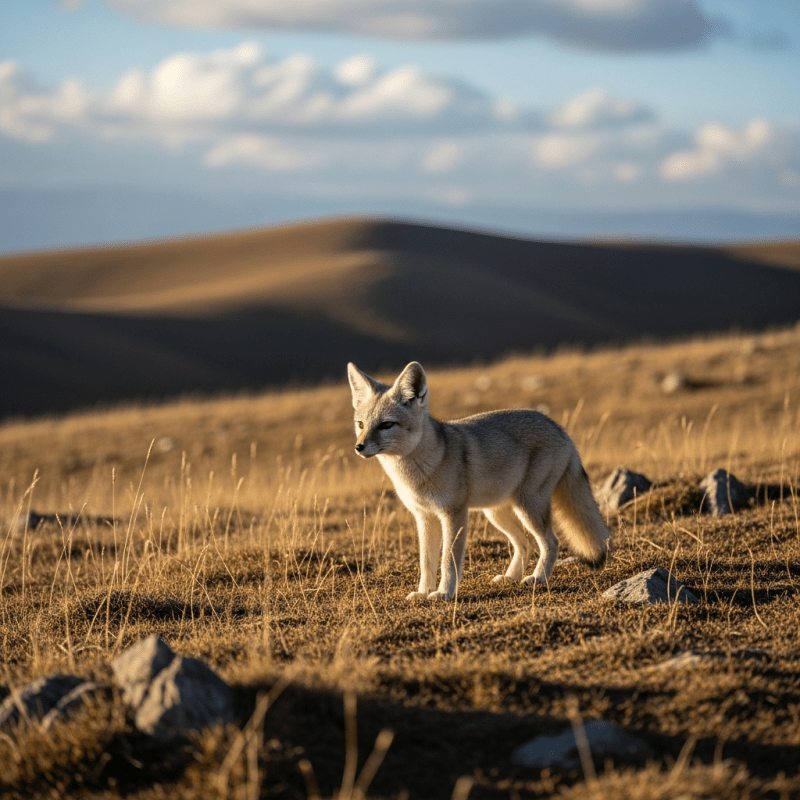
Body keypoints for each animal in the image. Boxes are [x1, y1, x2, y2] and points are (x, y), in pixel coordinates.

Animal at [347, 361, 611, 601]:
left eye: (386, 425)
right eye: (360, 425)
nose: (359, 447)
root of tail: (560, 429)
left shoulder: (454, 514)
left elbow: (448, 560)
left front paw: (444, 593)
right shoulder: (424, 517)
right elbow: (426, 562)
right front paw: (423, 593)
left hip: (528, 507)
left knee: (551, 542)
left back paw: (537, 578)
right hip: (497, 513)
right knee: (525, 543)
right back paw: (511, 577)